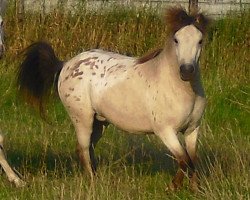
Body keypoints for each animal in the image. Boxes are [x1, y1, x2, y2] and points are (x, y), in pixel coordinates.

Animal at [16, 7, 210, 191]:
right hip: (82, 119)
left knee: (89, 148)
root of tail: (65, 65)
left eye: (200, 40)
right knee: (83, 149)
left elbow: (192, 159)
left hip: (99, 123)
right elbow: (184, 160)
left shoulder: (192, 129)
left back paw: (96, 177)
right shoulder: (165, 131)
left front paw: (195, 189)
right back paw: (92, 182)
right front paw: (172, 187)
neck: (178, 88)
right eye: (176, 40)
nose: (186, 70)